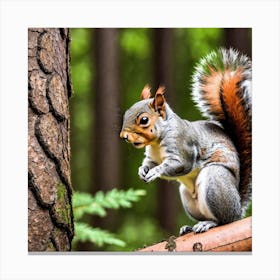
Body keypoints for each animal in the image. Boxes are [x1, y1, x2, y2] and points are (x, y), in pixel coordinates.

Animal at [120, 48, 252, 234]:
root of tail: (238, 207)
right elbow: (149, 163)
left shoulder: (183, 147)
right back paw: (189, 227)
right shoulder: (152, 156)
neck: (157, 142)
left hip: (215, 182)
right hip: (187, 196)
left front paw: (155, 172)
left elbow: (179, 164)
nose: (123, 136)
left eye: (144, 120)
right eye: (126, 113)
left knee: (224, 220)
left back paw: (210, 223)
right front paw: (143, 170)